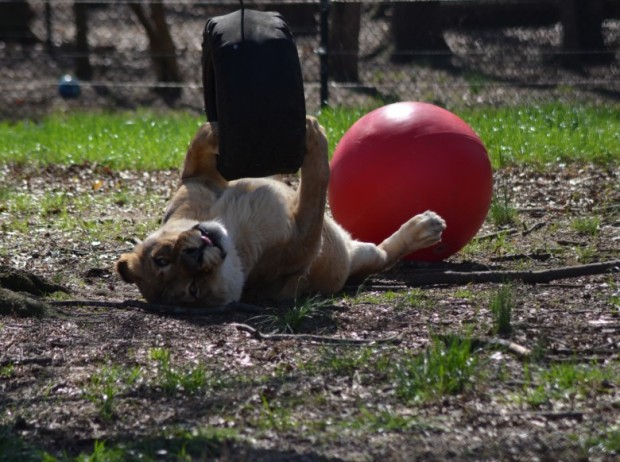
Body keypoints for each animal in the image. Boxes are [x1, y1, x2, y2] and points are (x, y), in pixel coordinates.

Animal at [116, 117, 446, 306]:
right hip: (361, 256)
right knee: (384, 254)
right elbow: (316, 188)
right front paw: (314, 136)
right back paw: (427, 227)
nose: (194, 255)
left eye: (161, 258)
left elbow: (196, 146)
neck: (229, 226)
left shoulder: (196, 183)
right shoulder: (301, 244)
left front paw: (217, 129)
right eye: (193, 290)